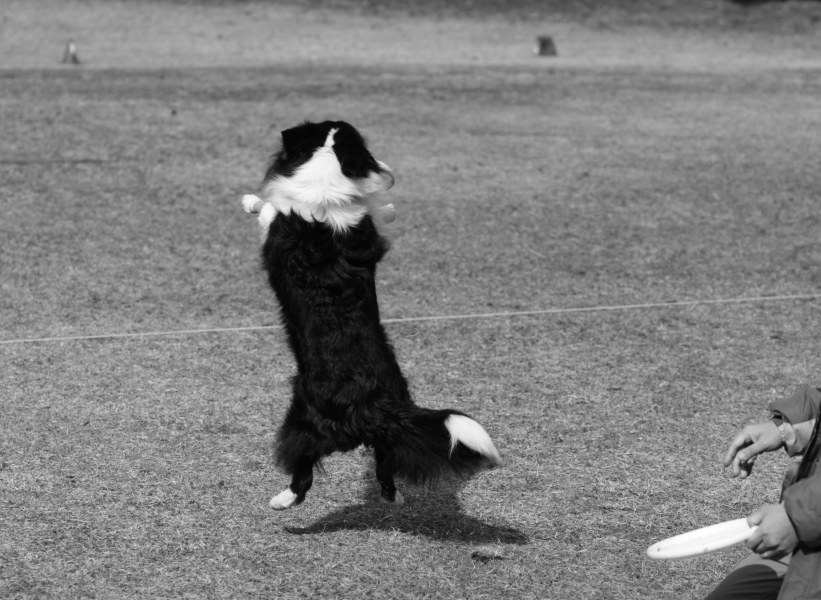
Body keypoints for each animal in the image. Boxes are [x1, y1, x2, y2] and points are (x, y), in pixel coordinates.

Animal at [241, 120, 501, 510]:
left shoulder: (279, 221)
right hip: (386, 440)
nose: (390, 173)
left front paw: (249, 201)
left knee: (303, 474)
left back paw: (282, 500)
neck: (326, 169)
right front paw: (387, 208)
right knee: (385, 470)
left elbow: (271, 206)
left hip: (302, 420)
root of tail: (372, 408)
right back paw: (393, 499)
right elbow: (372, 212)